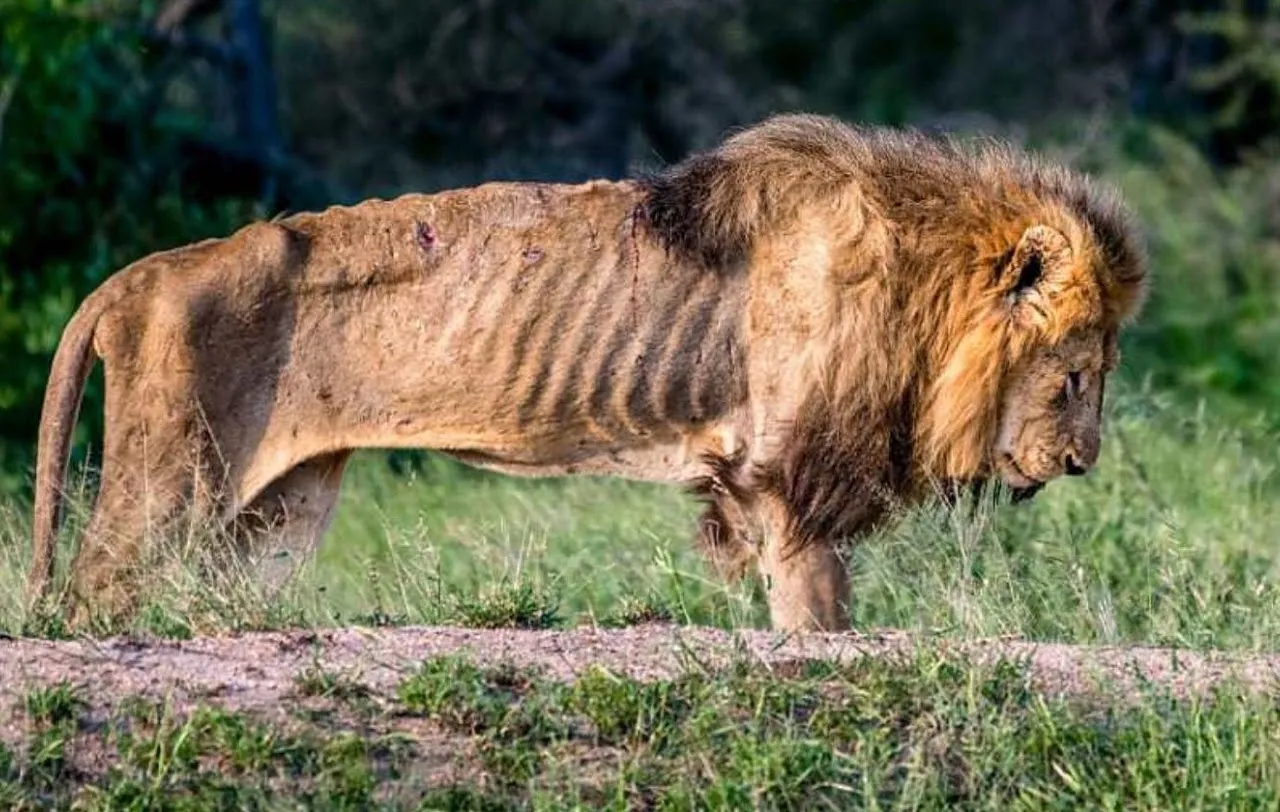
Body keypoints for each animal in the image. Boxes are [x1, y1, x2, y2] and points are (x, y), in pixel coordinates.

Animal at [26, 113, 1147, 632]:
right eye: (1074, 376)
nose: (1084, 462)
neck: (923, 283)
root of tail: (138, 275)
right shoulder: (790, 476)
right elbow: (819, 614)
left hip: (271, 516)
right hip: (168, 484)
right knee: (90, 599)